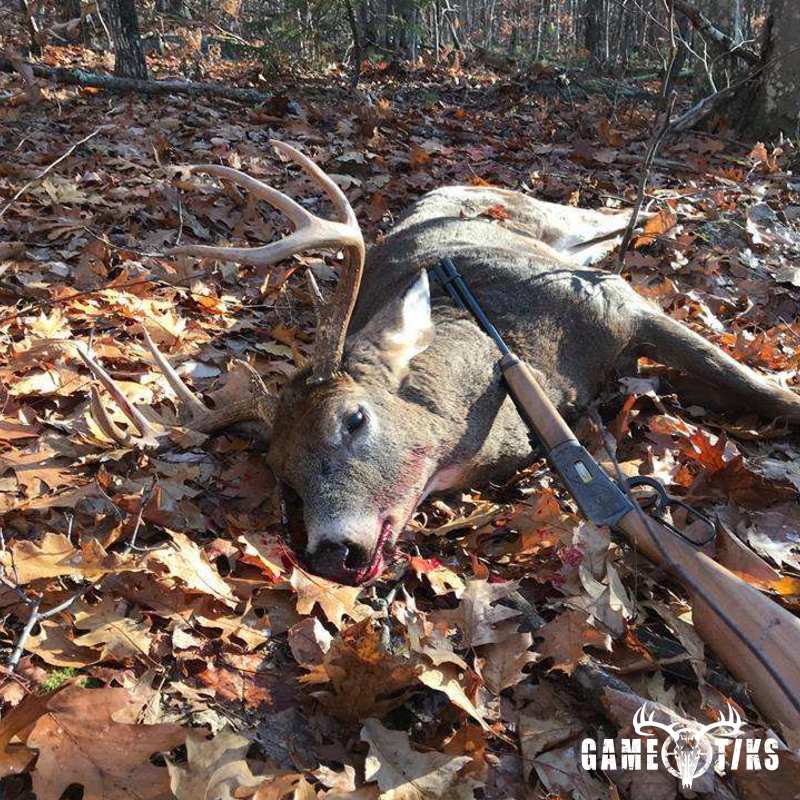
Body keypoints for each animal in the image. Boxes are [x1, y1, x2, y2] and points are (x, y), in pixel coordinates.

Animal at [77, 140, 800, 586]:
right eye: (282, 474)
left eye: (354, 419)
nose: (332, 552)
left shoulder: (617, 301)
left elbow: (758, 386)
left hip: (559, 227)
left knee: (606, 213)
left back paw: (663, 204)